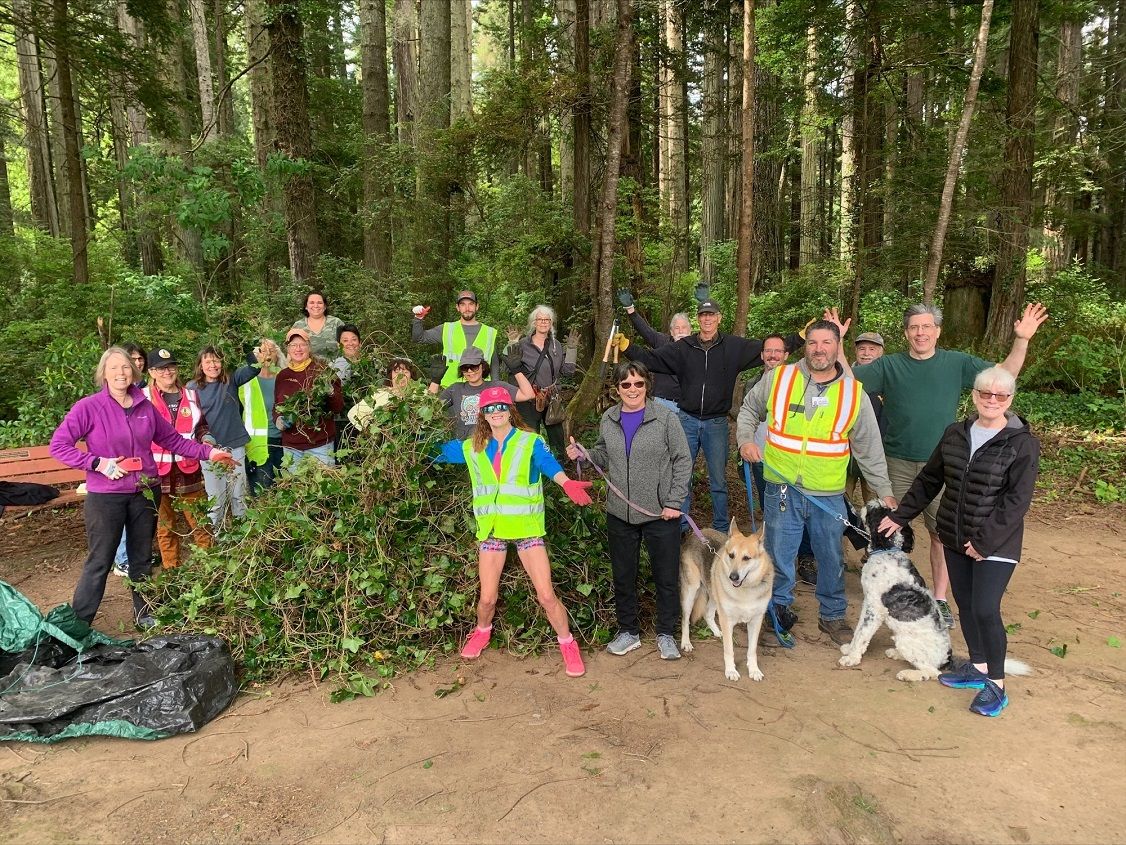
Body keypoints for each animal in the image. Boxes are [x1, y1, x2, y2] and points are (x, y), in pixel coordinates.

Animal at [675, 522, 774, 680]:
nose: (732, 577)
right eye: (731, 555)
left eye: (747, 558)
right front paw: (731, 670)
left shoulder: (756, 620)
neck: (746, 590)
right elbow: (729, 650)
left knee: (708, 613)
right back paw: (686, 642)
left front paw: (754, 670)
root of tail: (696, 533)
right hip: (691, 590)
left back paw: (717, 631)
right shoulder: (727, 620)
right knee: (685, 619)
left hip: (714, 595)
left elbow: (752, 650)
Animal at [842, 502, 954, 680]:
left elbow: (863, 634)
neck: (887, 551)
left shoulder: (875, 610)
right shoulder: (868, 602)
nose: (872, 502)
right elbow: (859, 630)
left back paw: (907, 674)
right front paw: (849, 649)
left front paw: (851, 658)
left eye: (877, 512)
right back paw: (895, 653)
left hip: (906, 642)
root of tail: (947, 658)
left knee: (931, 672)